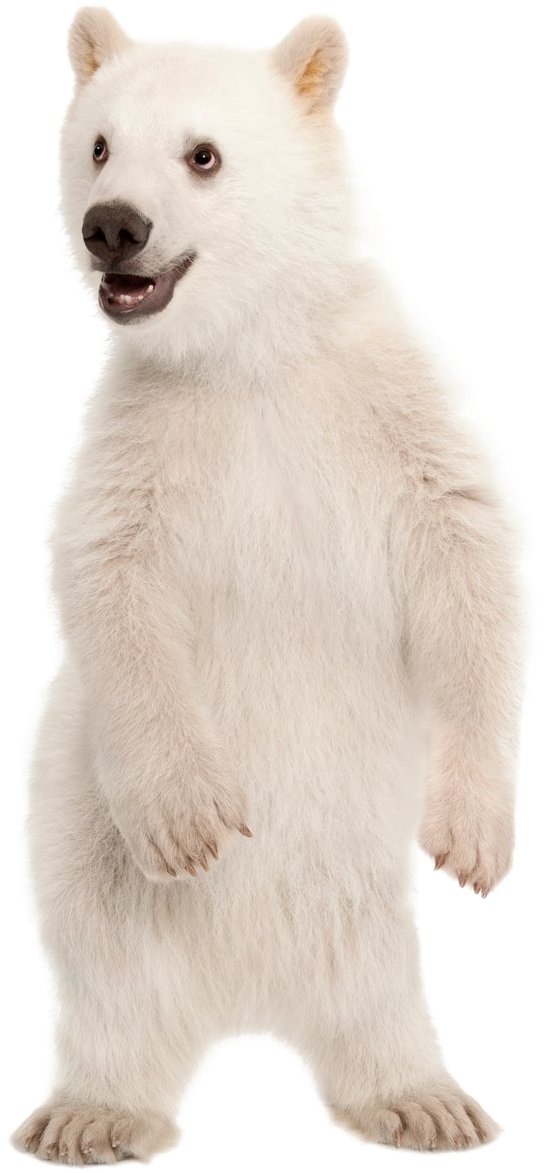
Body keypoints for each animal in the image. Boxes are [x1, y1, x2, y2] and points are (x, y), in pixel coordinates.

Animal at [8, 3, 541, 1164]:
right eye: (98, 146)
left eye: (202, 155)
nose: (112, 227)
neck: (248, 354)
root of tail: (245, 1008)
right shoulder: (141, 432)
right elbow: (108, 580)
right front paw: (190, 820)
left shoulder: (389, 397)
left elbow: (472, 548)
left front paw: (475, 831)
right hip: (82, 843)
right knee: (105, 977)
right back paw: (91, 1113)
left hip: (364, 916)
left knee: (381, 992)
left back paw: (422, 1099)